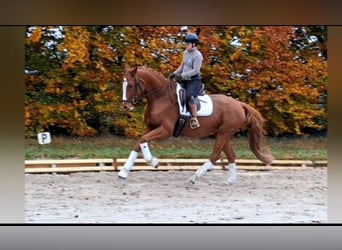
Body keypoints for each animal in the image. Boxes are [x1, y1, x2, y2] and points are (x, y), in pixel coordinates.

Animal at [119, 65, 274, 185]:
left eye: (131, 85)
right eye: (123, 85)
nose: (126, 106)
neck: (161, 97)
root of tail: (239, 104)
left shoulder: (165, 130)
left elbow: (143, 141)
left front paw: (154, 162)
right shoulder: (151, 128)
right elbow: (139, 143)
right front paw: (123, 173)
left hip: (224, 133)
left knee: (215, 155)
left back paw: (194, 177)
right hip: (224, 134)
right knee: (231, 155)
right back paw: (229, 181)